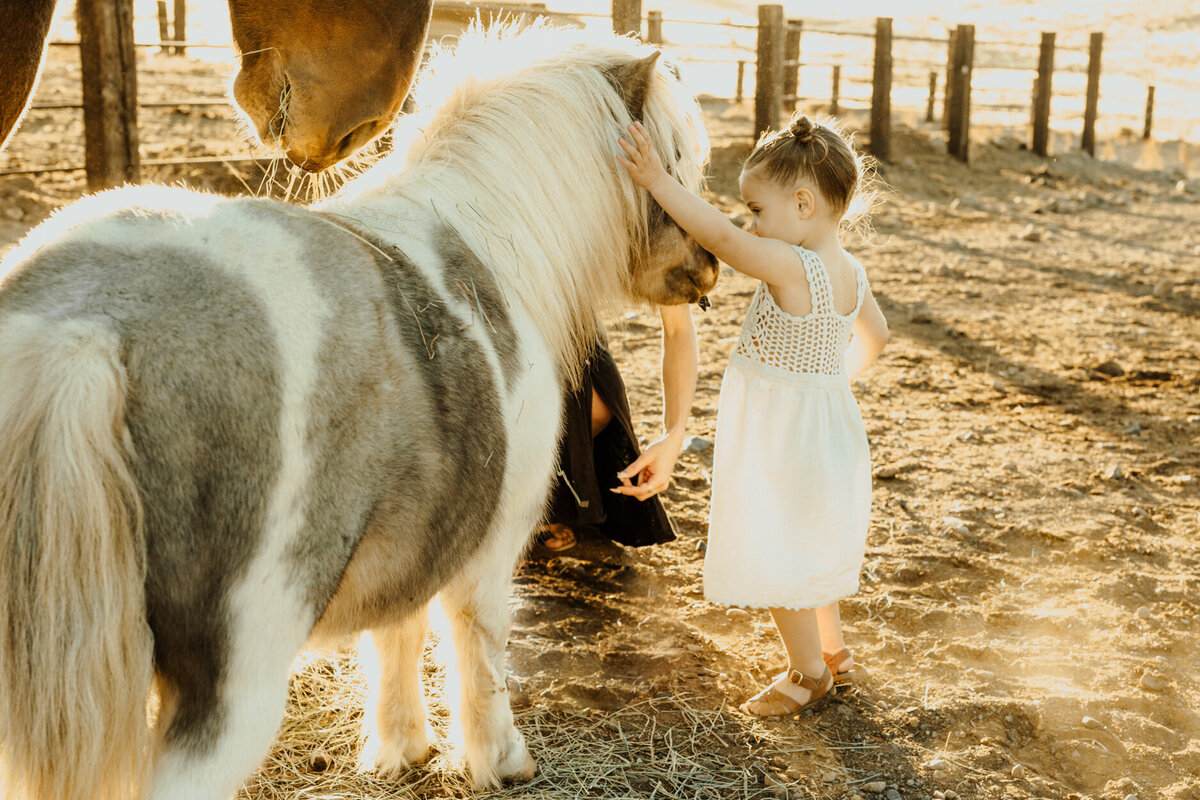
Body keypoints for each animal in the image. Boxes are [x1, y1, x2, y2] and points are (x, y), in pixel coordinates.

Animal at [0, 23, 715, 800]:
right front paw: (498, 759)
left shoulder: (415, 533)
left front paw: (401, 748)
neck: (484, 241)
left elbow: (395, 634)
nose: (709, 267)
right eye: (676, 158)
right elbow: (479, 647)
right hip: (228, 695)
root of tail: (85, 330)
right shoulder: (491, 549)